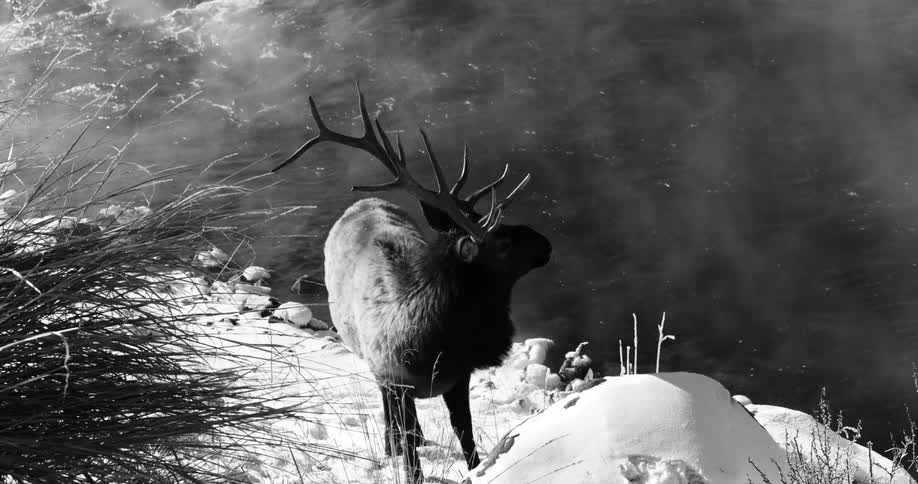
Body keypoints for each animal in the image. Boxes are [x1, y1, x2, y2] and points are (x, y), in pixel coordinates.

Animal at [272, 84, 552, 483]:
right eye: (503, 243)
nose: (546, 243)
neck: (432, 344)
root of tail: (363, 201)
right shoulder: (394, 378)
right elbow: (410, 450)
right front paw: (404, 460)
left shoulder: (456, 377)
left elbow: (464, 433)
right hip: (371, 362)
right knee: (390, 413)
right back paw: (392, 444)